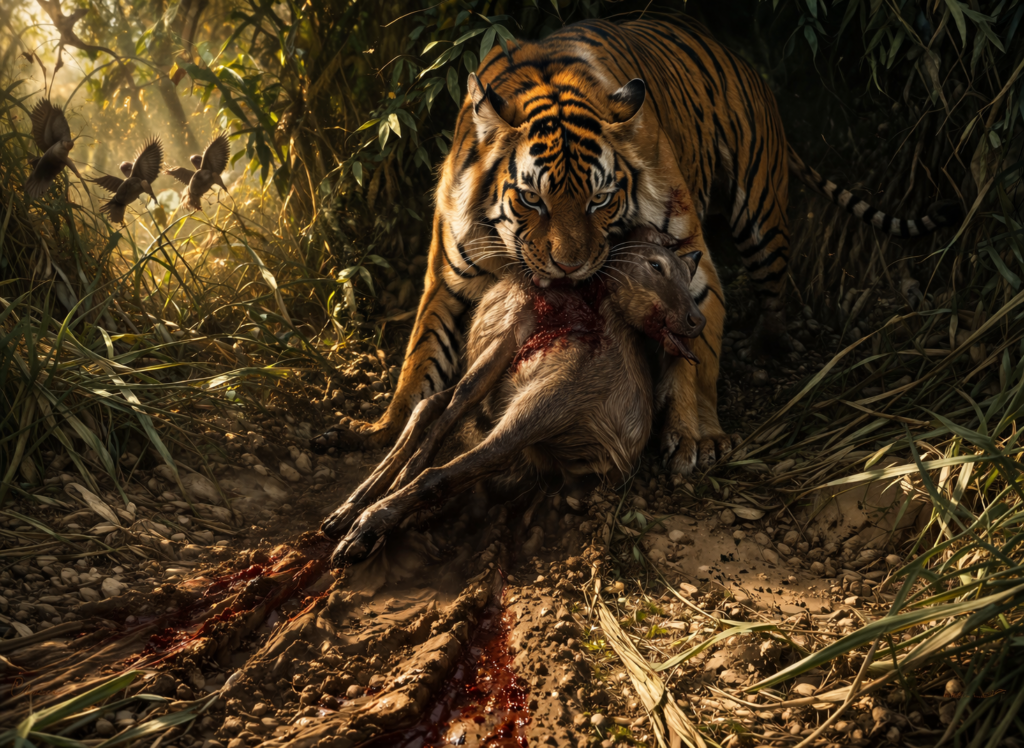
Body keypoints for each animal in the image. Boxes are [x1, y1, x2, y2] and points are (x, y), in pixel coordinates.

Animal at [314, 16, 961, 475]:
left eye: (601, 200)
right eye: (532, 200)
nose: (570, 266)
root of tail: (734, 53)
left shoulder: (689, 264)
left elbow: (695, 357)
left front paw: (696, 438)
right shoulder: (447, 279)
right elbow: (420, 358)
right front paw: (384, 429)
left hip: (760, 211)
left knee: (775, 287)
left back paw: (769, 346)